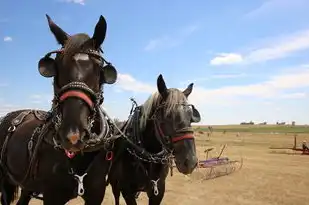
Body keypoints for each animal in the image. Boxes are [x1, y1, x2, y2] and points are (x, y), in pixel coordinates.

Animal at [0, 14, 118, 203]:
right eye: (55, 67)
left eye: (99, 69)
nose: (73, 135)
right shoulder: (52, 196)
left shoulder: (96, 194)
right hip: (4, 179)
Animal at [108, 74, 200, 205]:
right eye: (167, 115)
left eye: (191, 116)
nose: (191, 162)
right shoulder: (127, 191)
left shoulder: (158, 190)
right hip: (114, 183)